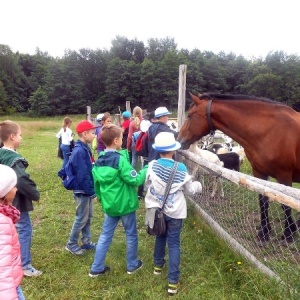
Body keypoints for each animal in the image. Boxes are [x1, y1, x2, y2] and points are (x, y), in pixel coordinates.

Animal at [178, 92, 300, 243]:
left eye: (190, 115)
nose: (178, 138)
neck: (269, 130)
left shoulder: (284, 176)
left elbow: (286, 205)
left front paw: (288, 234)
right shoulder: (259, 173)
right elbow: (263, 201)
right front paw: (264, 233)